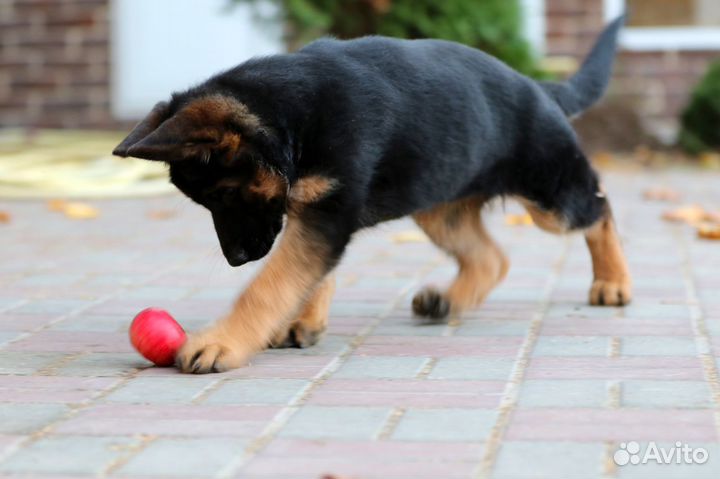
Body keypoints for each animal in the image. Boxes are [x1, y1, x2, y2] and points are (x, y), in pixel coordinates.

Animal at [112, 16, 632, 374]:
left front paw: (224, 340)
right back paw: (447, 302)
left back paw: (613, 282)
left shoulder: (327, 210)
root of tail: (539, 87)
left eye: (224, 194)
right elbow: (305, 274)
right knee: (492, 258)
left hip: (551, 197)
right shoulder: (311, 209)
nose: (238, 259)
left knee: (601, 206)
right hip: (439, 204)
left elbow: (272, 281)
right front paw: (302, 320)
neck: (294, 116)